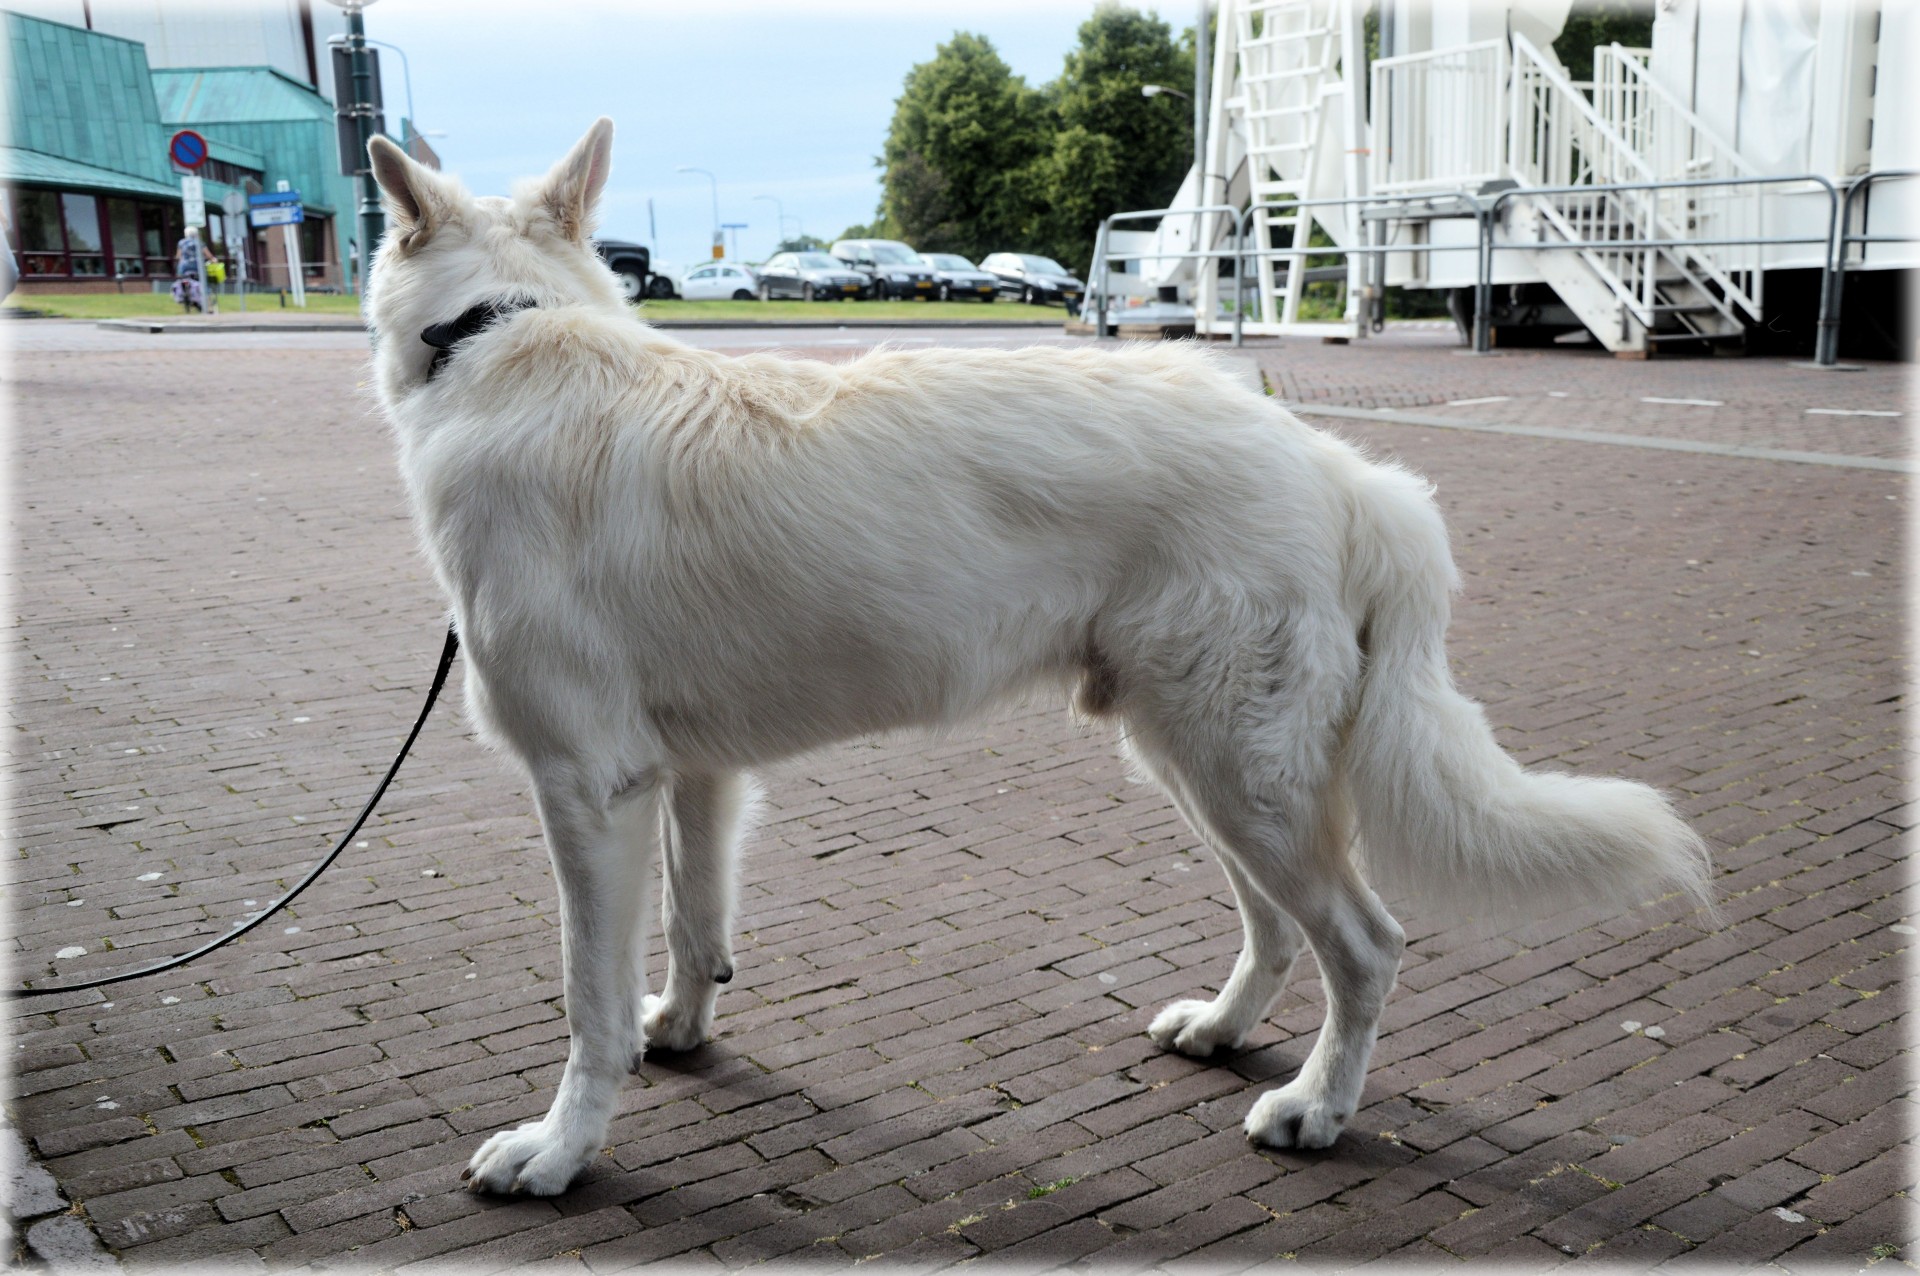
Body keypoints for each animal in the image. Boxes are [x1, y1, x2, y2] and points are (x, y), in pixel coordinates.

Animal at [366, 121, 1720, 1197]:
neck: (504, 334)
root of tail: (1336, 465)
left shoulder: (586, 790)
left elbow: (585, 1003)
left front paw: (560, 1150)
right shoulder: (694, 778)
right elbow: (698, 929)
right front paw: (684, 1034)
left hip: (1235, 770)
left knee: (1366, 945)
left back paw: (1316, 1111)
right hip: (1201, 765)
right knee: (1284, 931)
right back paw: (1223, 1029)